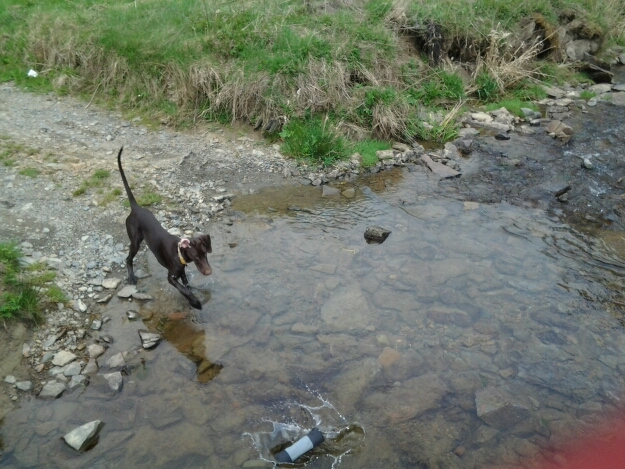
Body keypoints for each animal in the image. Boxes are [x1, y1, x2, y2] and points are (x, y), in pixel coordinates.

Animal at [117, 146, 212, 308]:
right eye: (196, 257)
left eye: (205, 254)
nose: (208, 272)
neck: (179, 253)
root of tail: (136, 208)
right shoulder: (171, 276)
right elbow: (183, 289)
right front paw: (195, 302)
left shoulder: (182, 272)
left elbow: (187, 286)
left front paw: (193, 296)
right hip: (135, 241)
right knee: (128, 259)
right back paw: (131, 276)